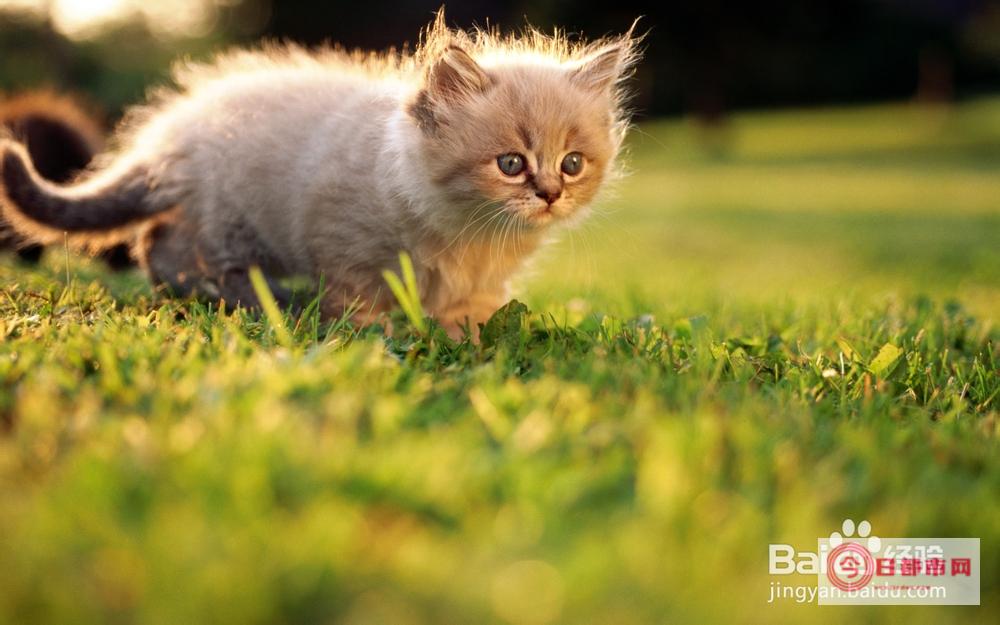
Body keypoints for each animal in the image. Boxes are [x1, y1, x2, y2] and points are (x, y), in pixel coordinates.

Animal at [0, 13, 640, 336]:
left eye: (572, 164)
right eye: (510, 164)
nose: (550, 194)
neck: (470, 231)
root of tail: (170, 137)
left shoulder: (479, 280)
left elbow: (472, 313)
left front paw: (469, 337)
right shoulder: (343, 242)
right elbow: (362, 305)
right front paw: (381, 338)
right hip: (231, 223)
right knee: (164, 253)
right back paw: (264, 301)